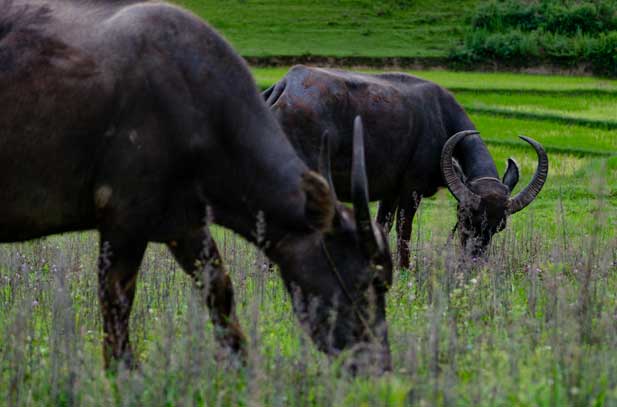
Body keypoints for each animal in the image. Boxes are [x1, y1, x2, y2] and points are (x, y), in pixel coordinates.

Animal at [0, 0, 392, 372]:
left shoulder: (184, 223)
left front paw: (242, 367)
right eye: (366, 282)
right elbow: (116, 303)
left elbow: (219, 290)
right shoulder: (123, 217)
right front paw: (122, 373)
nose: (378, 363)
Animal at [264, 66, 548, 268]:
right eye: (465, 218)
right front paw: (404, 268)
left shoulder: (389, 193)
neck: (441, 122)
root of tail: (285, 86)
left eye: (499, 226)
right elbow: (404, 231)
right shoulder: (411, 190)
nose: (473, 262)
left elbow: (383, 226)